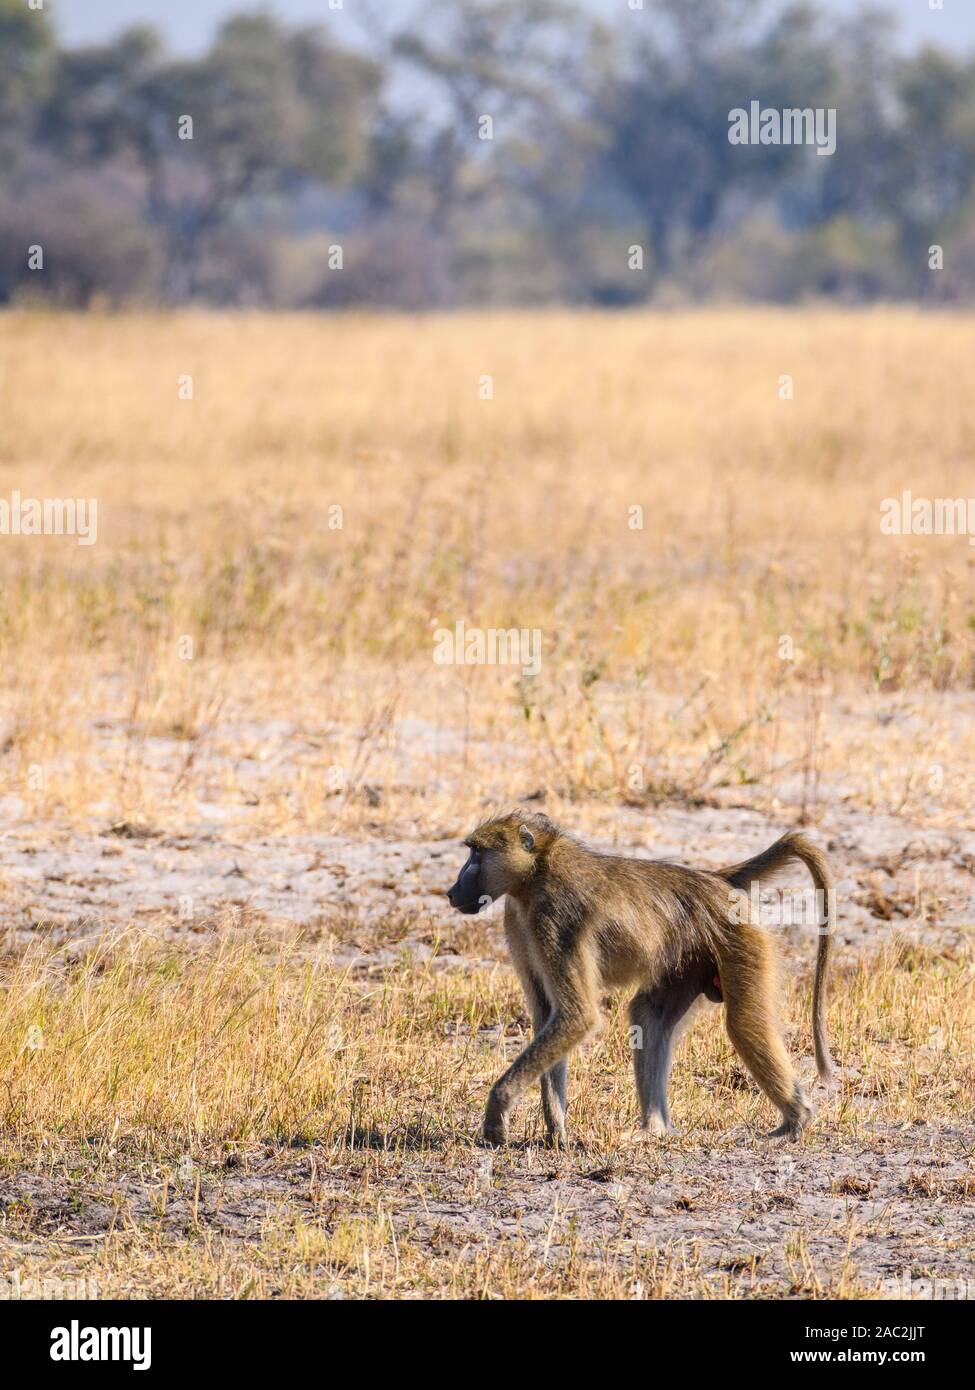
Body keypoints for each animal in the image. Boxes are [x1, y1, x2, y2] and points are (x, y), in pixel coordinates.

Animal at [446, 810, 834, 1148]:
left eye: (476, 853)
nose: (451, 891)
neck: (534, 874)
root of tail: (714, 880)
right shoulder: (519, 923)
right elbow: (548, 1017)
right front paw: (556, 1134)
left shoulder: (556, 918)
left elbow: (577, 1016)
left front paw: (497, 1115)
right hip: (688, 959)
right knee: (649, 1015)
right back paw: (654, 1129)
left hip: (741, 939)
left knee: (743, 1022)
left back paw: (794, 1124)